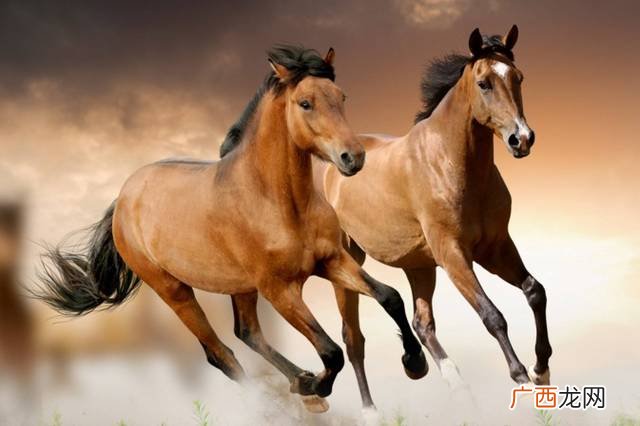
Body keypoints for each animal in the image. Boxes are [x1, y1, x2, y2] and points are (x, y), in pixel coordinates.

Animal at [34, 45, 426, 414]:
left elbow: (389, 296)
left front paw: (415, 363)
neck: (278, 202)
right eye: (305, 103)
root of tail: (123, 198)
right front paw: (316, 386)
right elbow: (331, 351)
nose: (353, 157)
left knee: (247, 332)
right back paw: (287, 397)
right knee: (220, 354)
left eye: (341, 97)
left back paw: (300, 382)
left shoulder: (331, 261)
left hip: (240, 287)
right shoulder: (279, 290)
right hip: (174, 290)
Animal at [316, 26, 552, 410]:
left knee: (422, 323)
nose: (522, 139)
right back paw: (371, 410)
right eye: (484, 83)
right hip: (348, 262)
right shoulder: (453, 254)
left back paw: (449, 381)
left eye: (518, 77)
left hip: (419, 266)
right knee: (353, 340)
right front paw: (522, 378)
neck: (450, 162)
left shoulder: (496, 248)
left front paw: (541, 368)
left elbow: (535, 291)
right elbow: (492, 316)